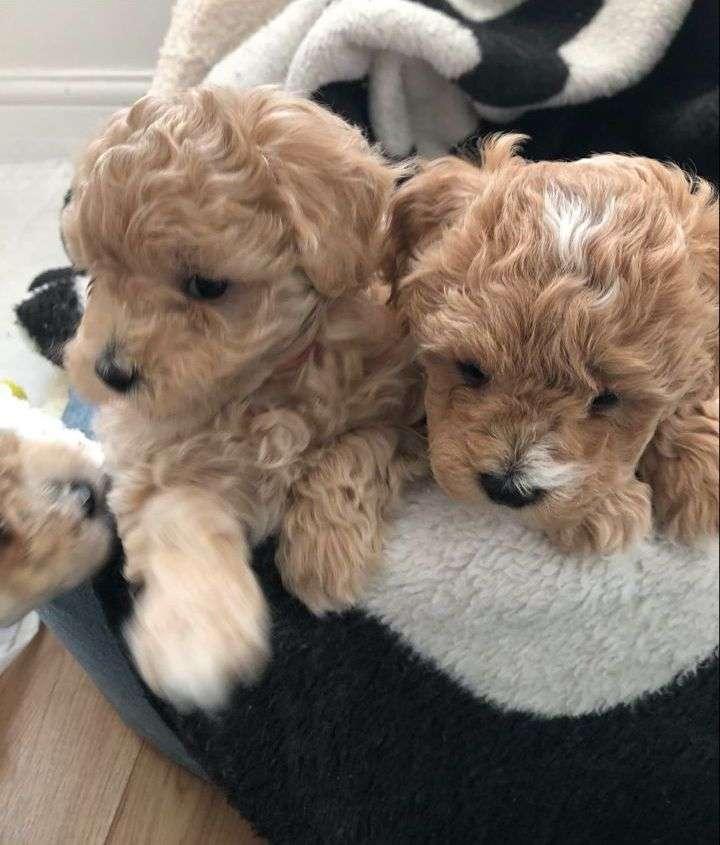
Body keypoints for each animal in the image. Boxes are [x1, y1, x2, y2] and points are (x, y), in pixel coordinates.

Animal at [62, 85, 424, 708]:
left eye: (207, 286)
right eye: (93, 275)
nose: (110, 372)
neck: (262, 385)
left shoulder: (404, 411)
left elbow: (352, 450)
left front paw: (326, 555)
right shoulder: (158, 468)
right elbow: (180, 523)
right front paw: (194, 637)